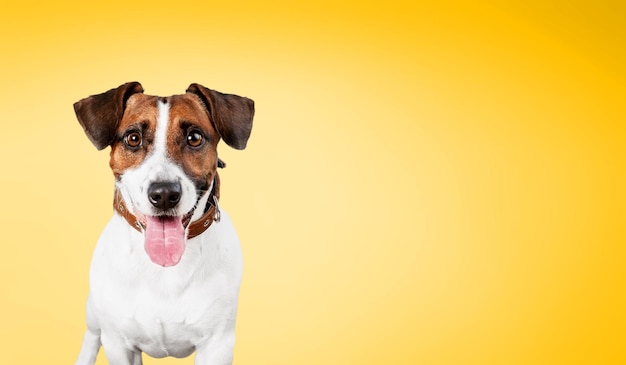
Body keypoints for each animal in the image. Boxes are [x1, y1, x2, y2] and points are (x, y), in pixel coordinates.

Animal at [74, 82, 255, 364]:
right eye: (133, 138)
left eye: (194, 138)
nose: (164, 194)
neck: (164, 270)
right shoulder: (118, 344)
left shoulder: (217, 345)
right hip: (95, 312)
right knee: (92, 336)